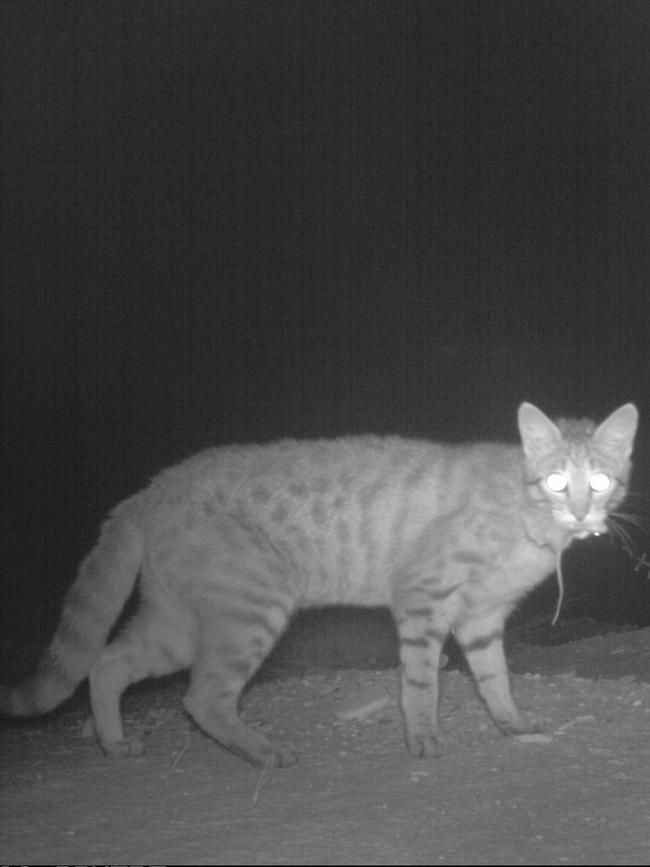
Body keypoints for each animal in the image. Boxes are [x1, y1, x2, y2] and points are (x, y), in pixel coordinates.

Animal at [0, 402, 636, 768]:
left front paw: (512, 725)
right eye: (556, 481)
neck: (527, 519)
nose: (582, 513)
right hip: (249, 614)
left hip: (177, 624)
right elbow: (421, 683)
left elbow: (495, 679)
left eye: (601, 481)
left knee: (105, 665)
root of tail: (149, 489)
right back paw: (263, 752)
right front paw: (424, 738)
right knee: (201, 697)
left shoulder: (481, 619)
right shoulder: (422, 601)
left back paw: (113, 743)